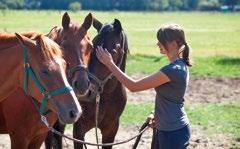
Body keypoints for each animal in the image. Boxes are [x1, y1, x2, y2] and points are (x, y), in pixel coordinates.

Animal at [46, 17, 129, 149]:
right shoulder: (79, 129)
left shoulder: (111, 130)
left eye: (113, 51)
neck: (105, 97)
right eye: (93, 47)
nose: (88, 90)